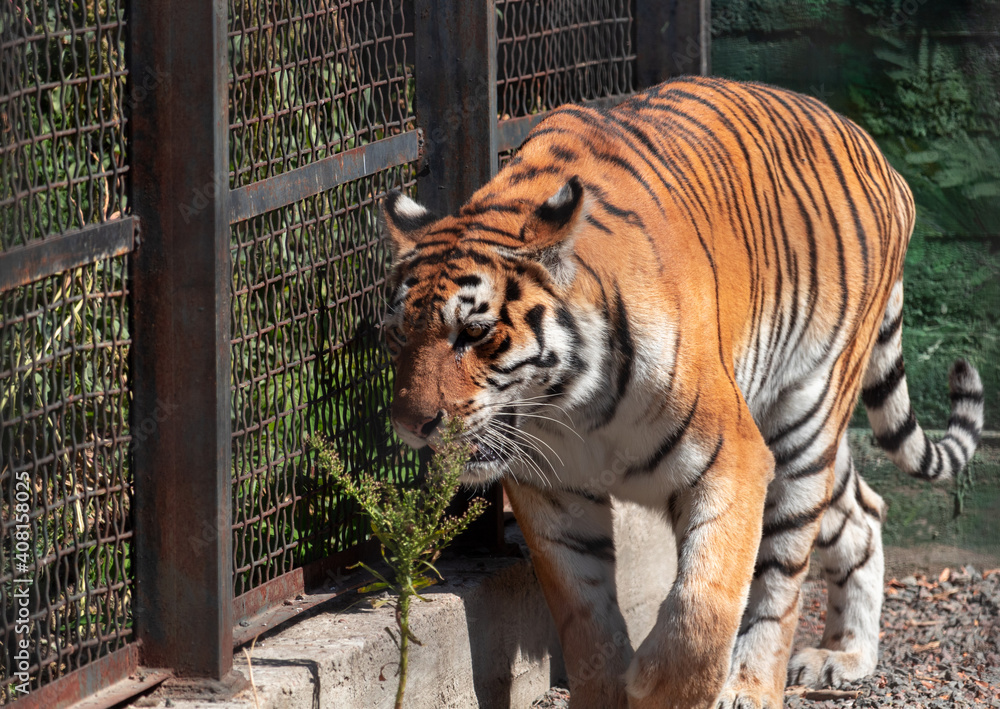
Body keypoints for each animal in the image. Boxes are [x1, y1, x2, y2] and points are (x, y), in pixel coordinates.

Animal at [378, 75, 985, 709]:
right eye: (396, 335)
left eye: (474, 333)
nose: (410, 425)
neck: (573, 406)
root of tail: (877, 153)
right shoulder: (554, 494)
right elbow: (584, 616)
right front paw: (606, 692)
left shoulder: (734, 461)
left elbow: (703, 605)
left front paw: (659, 684)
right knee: (865, 511)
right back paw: (845, 655)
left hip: (804, 422)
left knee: (783, 574)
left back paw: (753, 685)